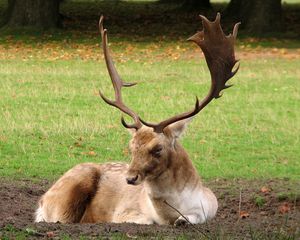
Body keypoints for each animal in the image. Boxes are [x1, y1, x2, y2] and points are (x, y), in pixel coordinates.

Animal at [35, 14, 240, 226]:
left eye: (157, 149)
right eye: (130, 147)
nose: (130, 178)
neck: (169, 214)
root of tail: (42, 202)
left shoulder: (210, 207)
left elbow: (190, 219)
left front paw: (183, 220)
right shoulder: (123, 212)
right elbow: (145, 220)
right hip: (68, 194)